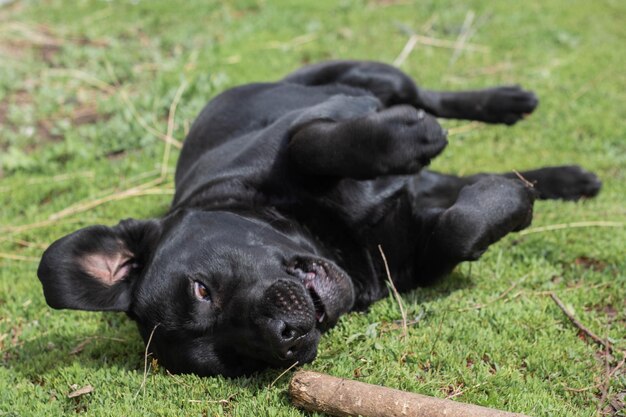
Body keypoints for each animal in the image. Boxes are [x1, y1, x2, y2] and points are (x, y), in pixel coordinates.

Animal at [37, 60, 600, 376]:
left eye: (200, 289)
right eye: (239, 360)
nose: (285, 334)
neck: (329, 238)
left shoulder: (299, 127)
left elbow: (312, 143)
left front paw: (408, 137)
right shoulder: (414, 261)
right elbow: (459, 231)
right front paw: (511, 198)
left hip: (366, 73)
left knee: (424, 96)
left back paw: (500, 104)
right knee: (459, 175)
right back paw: (561, 179)